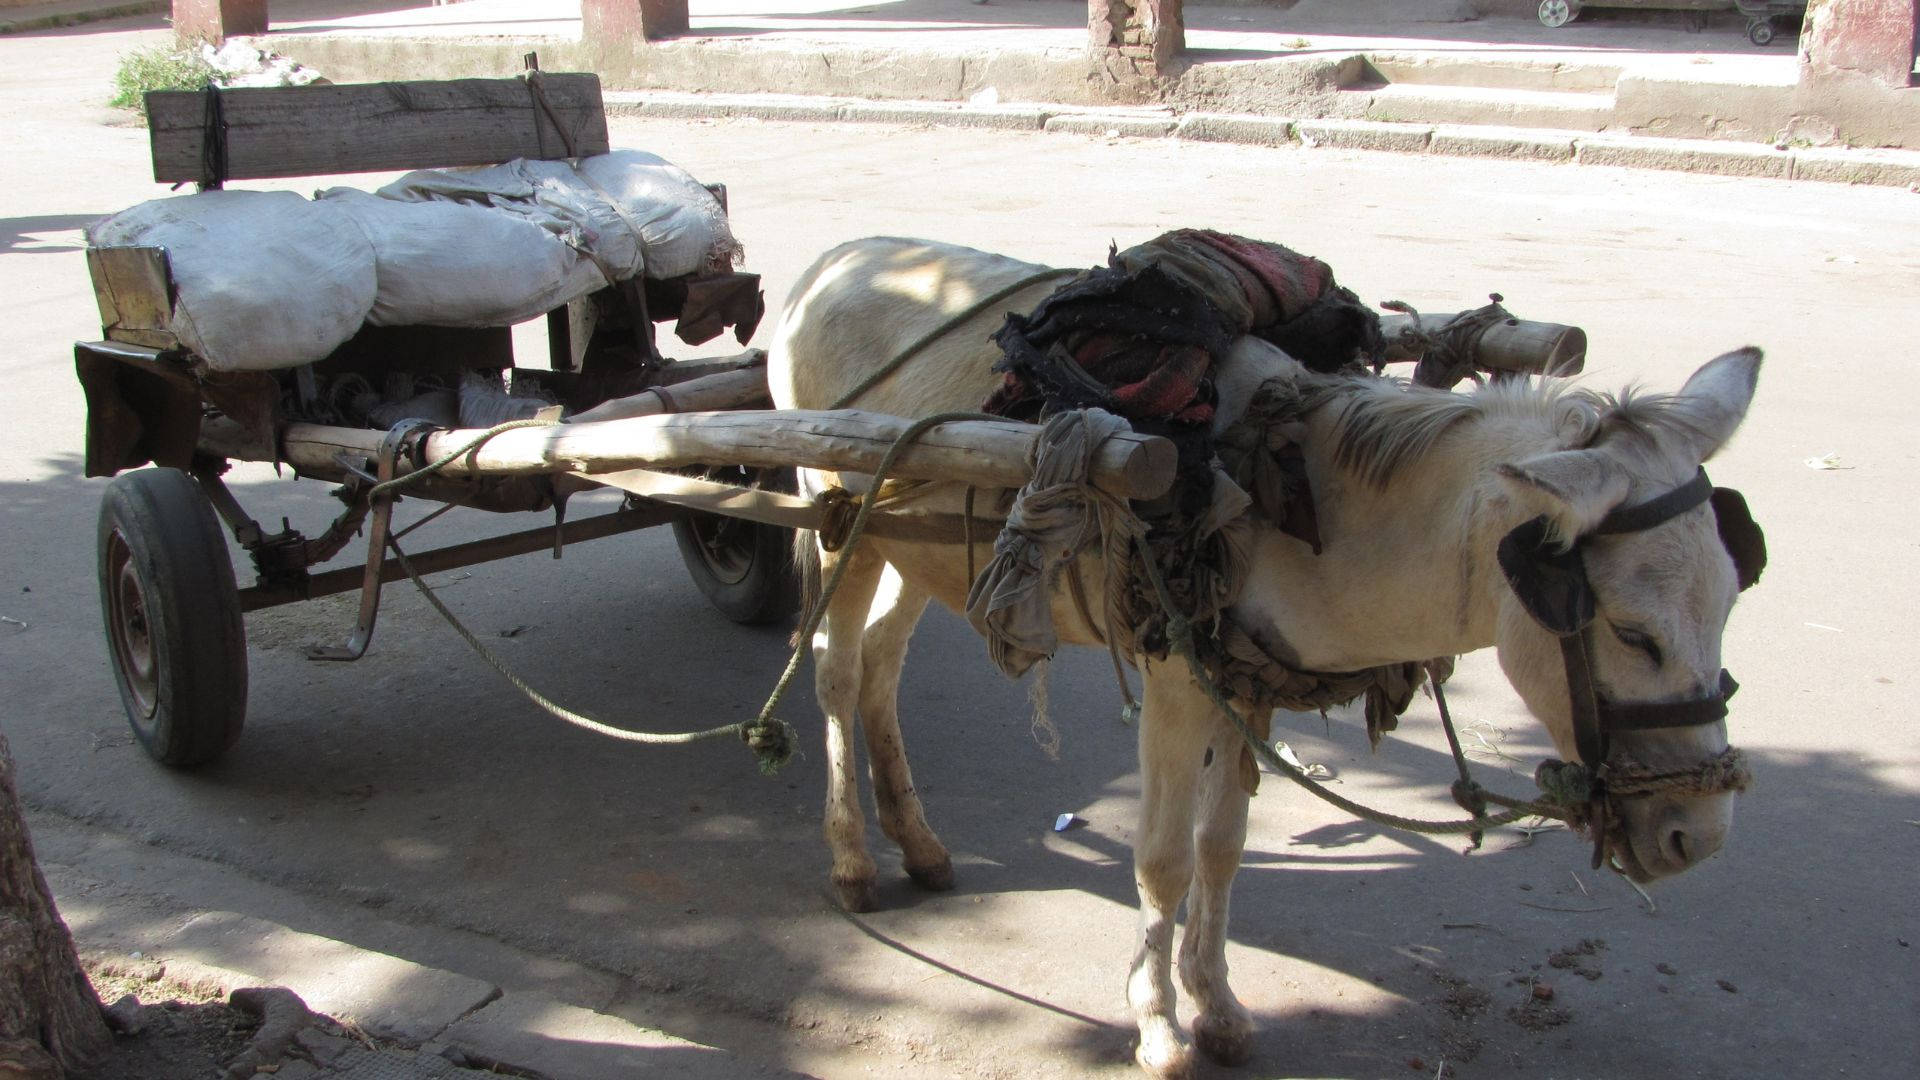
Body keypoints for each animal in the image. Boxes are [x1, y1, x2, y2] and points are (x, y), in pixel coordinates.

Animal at [764, 237, 1758, 1076]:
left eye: (1732, 599)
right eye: (1631, 633)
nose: (1699, 838)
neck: (1294, 481)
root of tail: (836, 256)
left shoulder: (1248, 684)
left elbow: (1223, 848)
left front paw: (1218, 1005)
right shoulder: (1176, 680)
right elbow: (1164, 858)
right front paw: (1159, 1027)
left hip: (919, 547)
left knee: (883, 665)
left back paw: (920, 843)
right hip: (839, 512)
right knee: (837, 672)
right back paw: (854, 860)